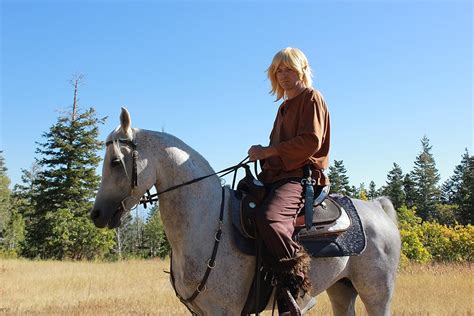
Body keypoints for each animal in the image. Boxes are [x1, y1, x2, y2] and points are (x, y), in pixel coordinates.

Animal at [91, 107, 400, 314]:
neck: (206, 223)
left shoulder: (224, 311)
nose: (97, 215)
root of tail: (378, 208)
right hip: (342, 289)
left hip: (377, 294)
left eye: (116, 162)